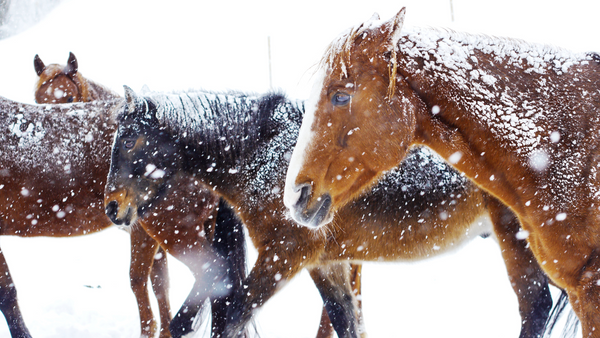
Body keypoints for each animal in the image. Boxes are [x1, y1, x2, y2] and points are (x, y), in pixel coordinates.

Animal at [104, 87, 564, 338]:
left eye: (128, 141)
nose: (112, 207)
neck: (263, 153)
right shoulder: (323, 263)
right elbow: (345, 322)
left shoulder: (283, 257)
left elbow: (230, 317)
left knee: (536, 307)